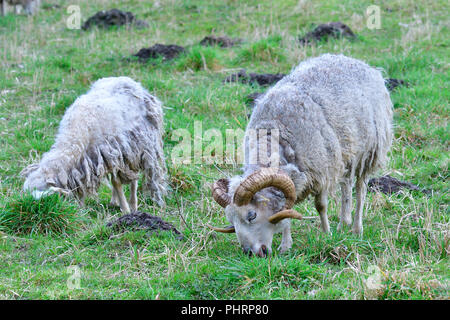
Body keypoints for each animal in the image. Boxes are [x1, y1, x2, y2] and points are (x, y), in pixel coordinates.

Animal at [22, 76, 168, 212]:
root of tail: (127, 80)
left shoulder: (111, 152)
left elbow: (116, 182)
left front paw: (126, 210)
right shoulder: (96, 159)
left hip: (138, 144)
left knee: (134, 177)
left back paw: (133, 204)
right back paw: (115, 201)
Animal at [209, 53, 392, 256]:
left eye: (252, 215)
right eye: (232, 222)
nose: (250, 253)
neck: (275, 136)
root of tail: (356, 61)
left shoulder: (321, 170)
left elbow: (320, 206)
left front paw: (326, 234)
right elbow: (286, 213)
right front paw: (285, 246)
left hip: (368, 151)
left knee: (360, 189)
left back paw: (356, 228)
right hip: (346, 153)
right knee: (346, 185)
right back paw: (344, 222)